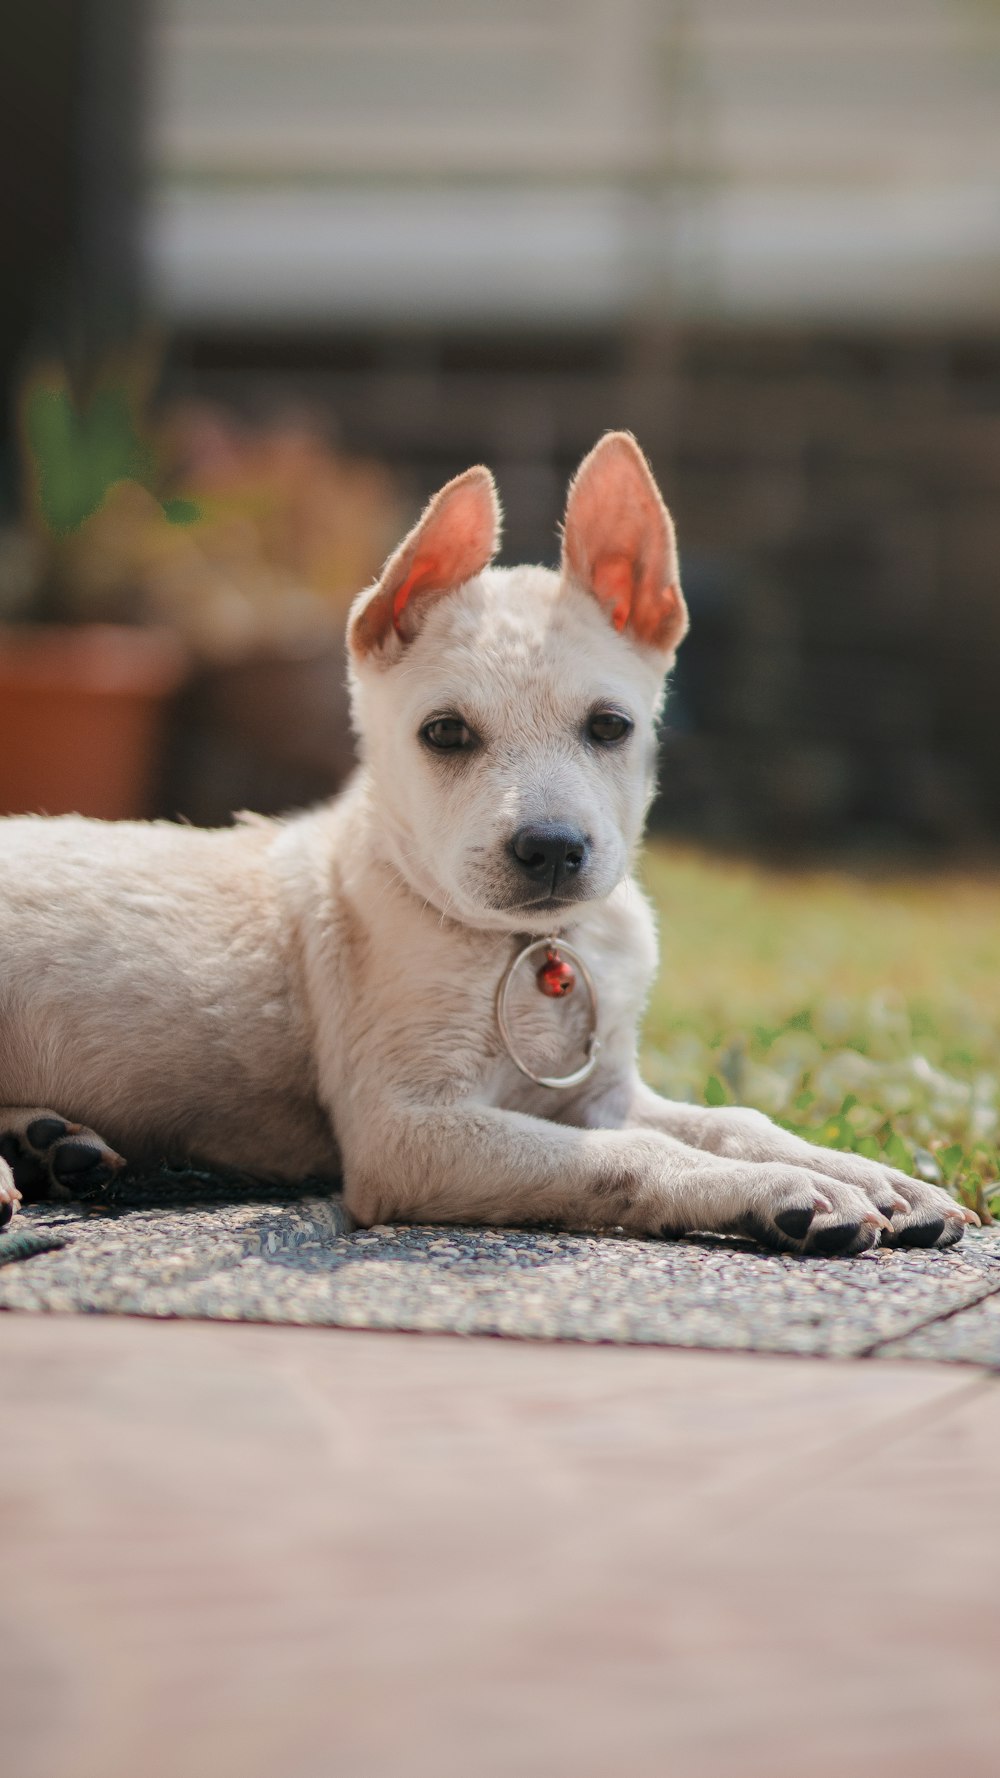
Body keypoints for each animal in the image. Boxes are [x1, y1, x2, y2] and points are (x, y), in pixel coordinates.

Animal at [0, 435, 967, 1258]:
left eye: (610, 726)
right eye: (446, 733)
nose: (551, 849)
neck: (525, 949)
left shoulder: (602, 1092)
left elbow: (731, 1119)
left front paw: (874, 1176)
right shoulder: (408, 1130)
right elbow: (637, 1159)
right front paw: (783, 1190)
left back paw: (48, 1145)